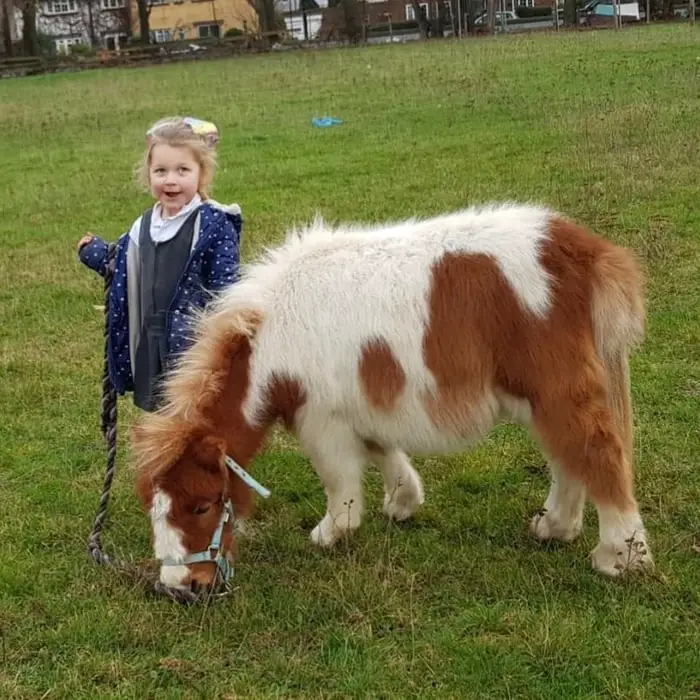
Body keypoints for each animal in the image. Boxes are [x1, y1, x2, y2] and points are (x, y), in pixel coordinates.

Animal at [134, 202, 652, 592]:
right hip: (543, 399)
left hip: (558, 390)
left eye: (202, 506)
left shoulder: (321, 420)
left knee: (597, 452)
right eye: (155, 509)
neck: (273, 340)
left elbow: (340, 482)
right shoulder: (357, 410)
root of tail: (580, 249)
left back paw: (620, 556)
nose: (179, 587)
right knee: (569, 458)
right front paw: (403, 503)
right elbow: (383, 451)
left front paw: (331, 532)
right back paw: (555, 528)